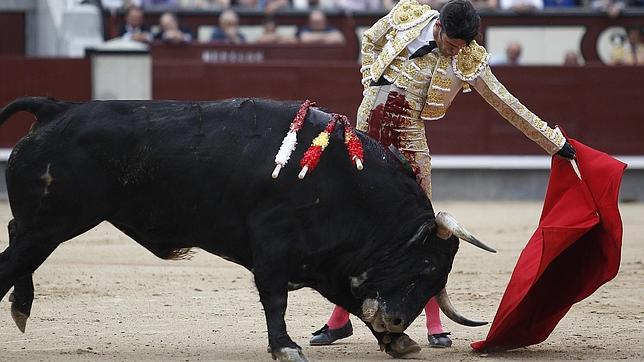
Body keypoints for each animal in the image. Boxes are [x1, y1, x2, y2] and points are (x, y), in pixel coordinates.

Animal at [0, 97, 486, 360]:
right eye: (426, 266)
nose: (397, 317)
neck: (346, 181)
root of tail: (56, 109)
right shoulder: (274, 244)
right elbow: (274, 297)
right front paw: (285, 346)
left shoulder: (329, 261)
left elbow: (349, 296)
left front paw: (397, 340)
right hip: (51, 224)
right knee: (11, 259)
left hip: (43, 226)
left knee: (12, 233)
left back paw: (21, 308)